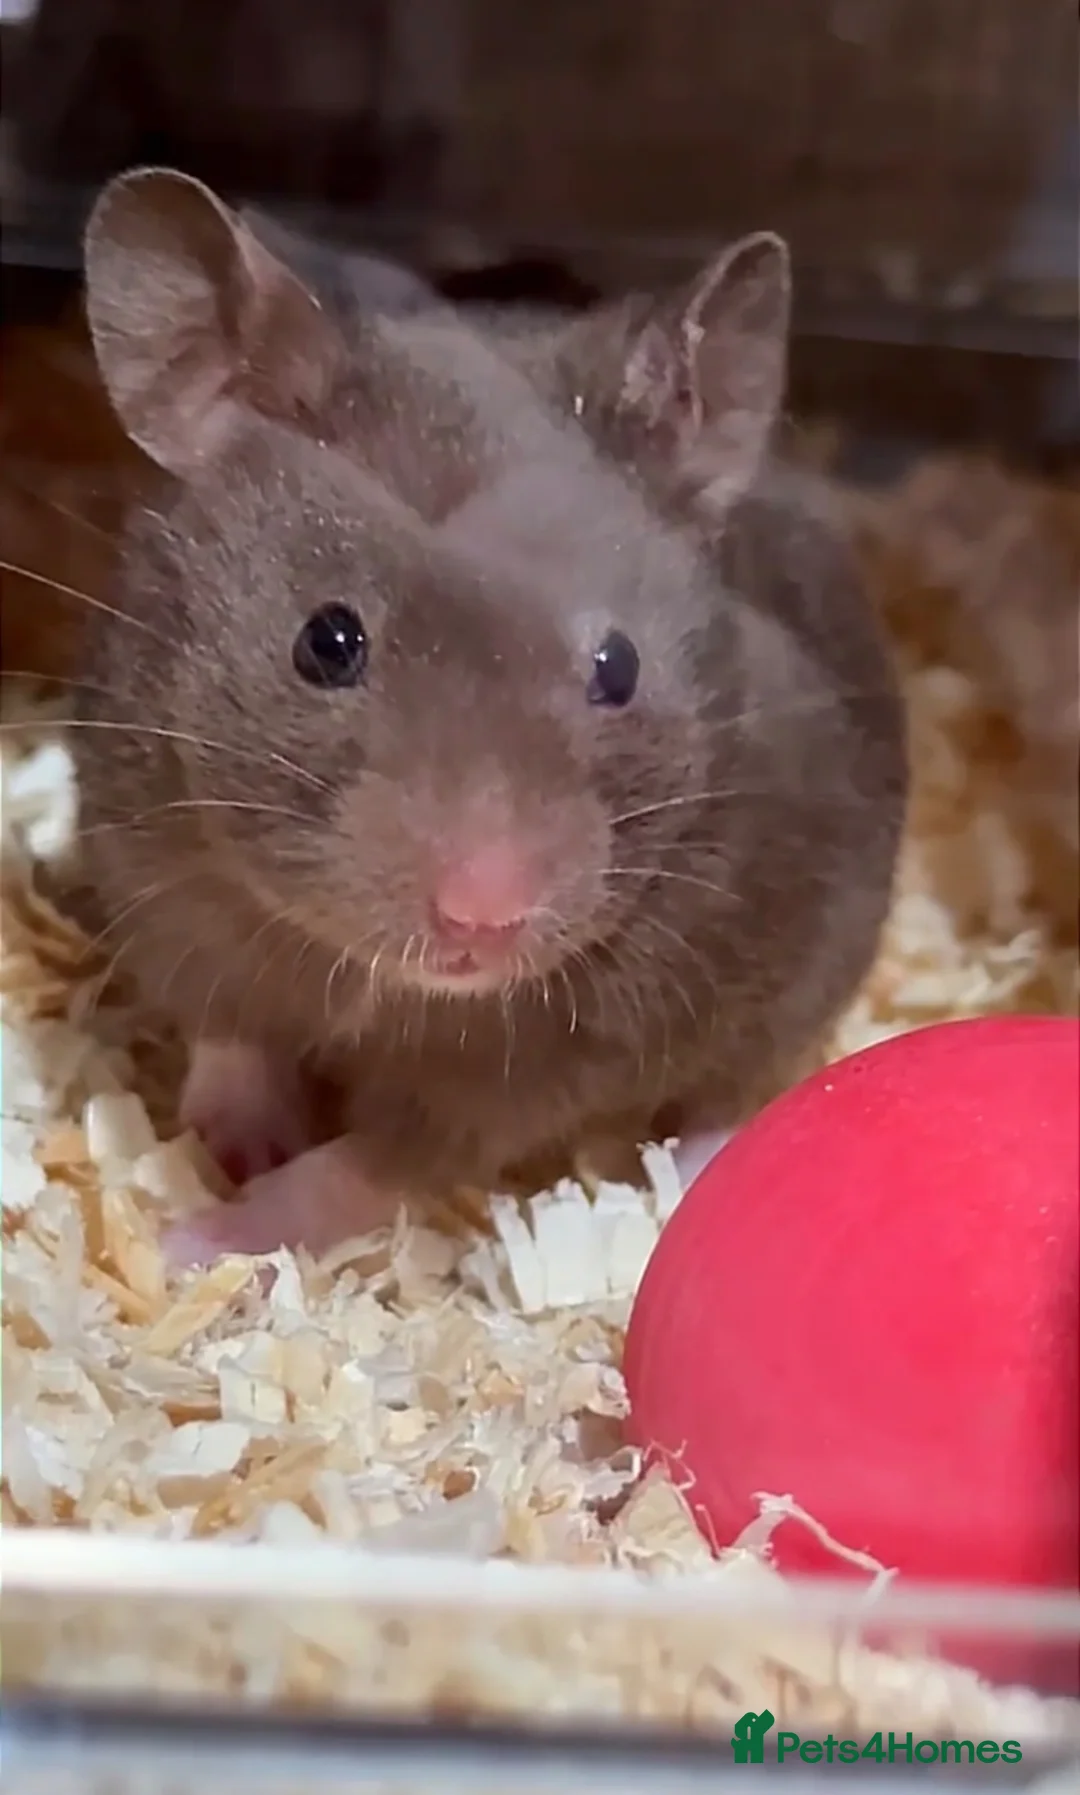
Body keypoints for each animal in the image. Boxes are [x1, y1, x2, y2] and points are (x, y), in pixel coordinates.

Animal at [72, 167, 908, 1264]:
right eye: (326, 641)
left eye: (618, 667)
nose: (484, 916)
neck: (385, 977)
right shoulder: (157, 877)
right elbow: (230, 1037)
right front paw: (233, 1144)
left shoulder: (533, 1062)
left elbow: (360, 1171)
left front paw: (194, 1242)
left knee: (730, 1092)